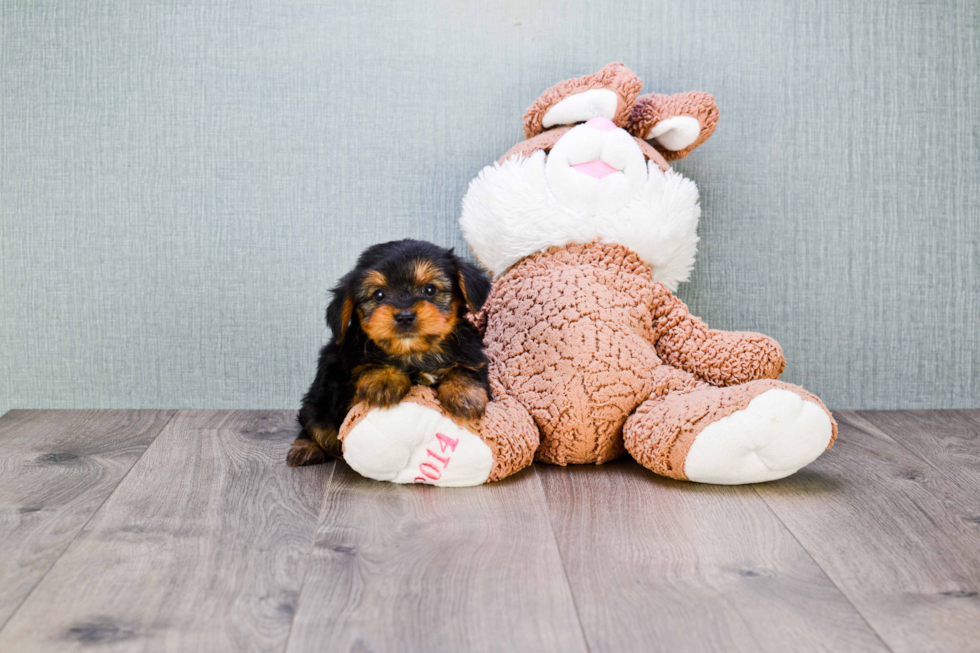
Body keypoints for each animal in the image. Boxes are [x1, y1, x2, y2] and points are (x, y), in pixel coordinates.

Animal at [288, 237, 494, 466]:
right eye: (379, 295)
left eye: (430, 290)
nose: (404, 316)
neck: (414, 353)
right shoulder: (343, 387)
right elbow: (363, 369)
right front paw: (384, 379)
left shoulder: (473, 354)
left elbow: (467, 368)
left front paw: (463, 394)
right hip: (316, 402)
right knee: (314, 424)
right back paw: (305, 446)